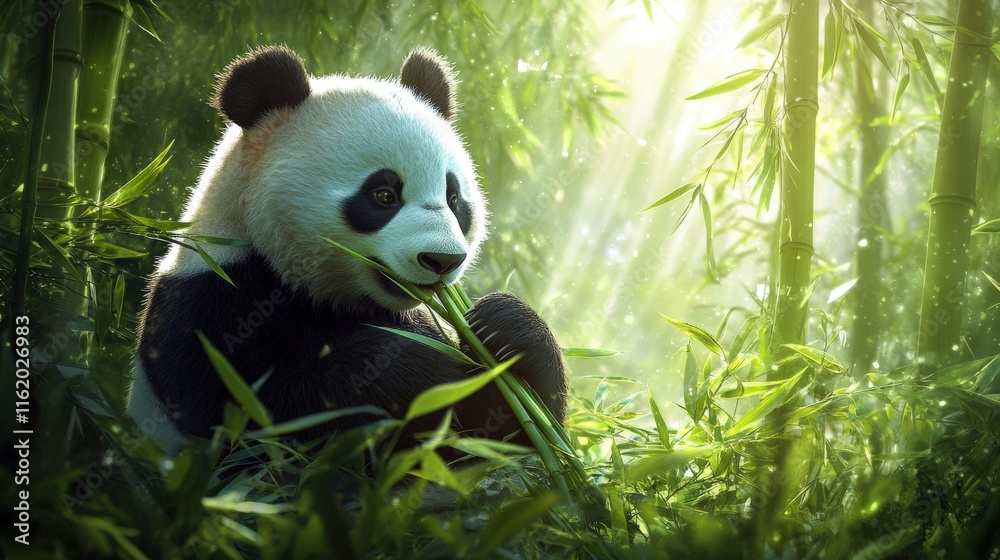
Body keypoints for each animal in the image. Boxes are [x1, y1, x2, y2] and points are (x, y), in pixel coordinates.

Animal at [127, 46, 568, 456]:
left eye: (454, 198)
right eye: (384, 194)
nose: (443, 260)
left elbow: (499, 441)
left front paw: (502, 328)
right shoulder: (207, 309)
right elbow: (257, 419)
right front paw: (423, 369)